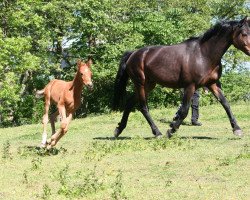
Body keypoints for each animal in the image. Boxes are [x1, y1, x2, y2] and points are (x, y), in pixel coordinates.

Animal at [114, 16, 250, 138]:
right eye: (244, 33)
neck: (204, 54)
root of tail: (133, 54)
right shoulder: (190, 86)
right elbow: (184, 110)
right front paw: (171, 130)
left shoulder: (212, 84)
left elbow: (226, 104)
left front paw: (237, 129)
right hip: (140, 84)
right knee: (143, 107)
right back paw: (157, 133)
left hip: (148, 85)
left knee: (129, 103)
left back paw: (118, 130)